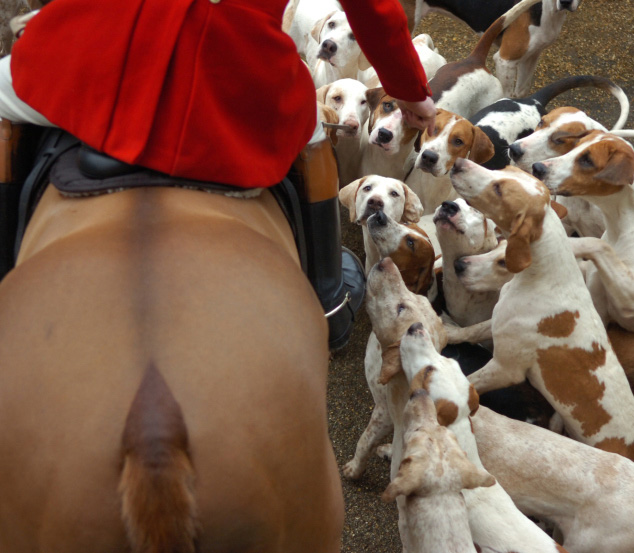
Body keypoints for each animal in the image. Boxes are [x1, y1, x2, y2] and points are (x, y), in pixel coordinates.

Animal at [450, 157, 634, 460]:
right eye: (505, 170)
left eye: (499, 189)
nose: (458, 163)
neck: (541, 276)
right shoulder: (500, 323)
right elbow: (470, 331)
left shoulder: (505, 368)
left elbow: (469, 380)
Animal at [532, 132, 632, 334]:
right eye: (576, 145)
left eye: (587, 160)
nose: (536, 167)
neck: (618, 227)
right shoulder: (598, 307)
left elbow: (599, 244)